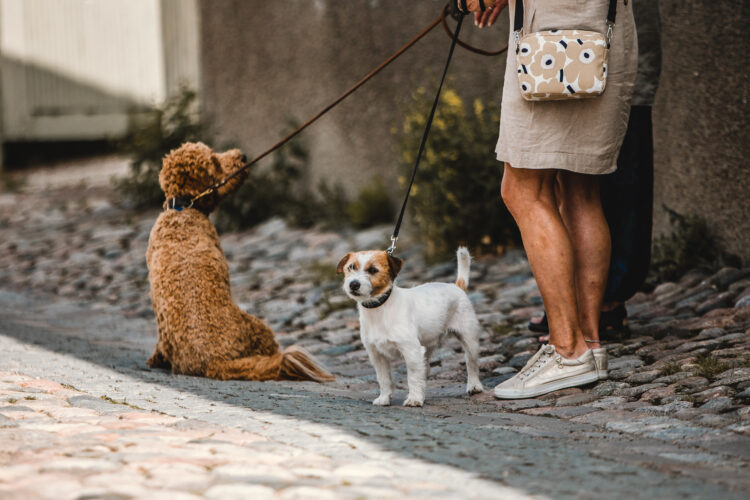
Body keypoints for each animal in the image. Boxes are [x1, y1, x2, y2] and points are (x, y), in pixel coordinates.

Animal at [338, 246, 484, 406]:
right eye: (351, 267)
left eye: (372, 270)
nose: (353, 284)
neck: (380, 308)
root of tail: (457, 286)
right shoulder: (377, 355)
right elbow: (384, 379)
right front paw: (384, 398)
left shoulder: (411, 351)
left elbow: (413, 377)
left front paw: (414, 399)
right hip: (427, 345)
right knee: (425, 368)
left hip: (469, 339)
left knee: (471, 363)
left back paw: (474, 386)